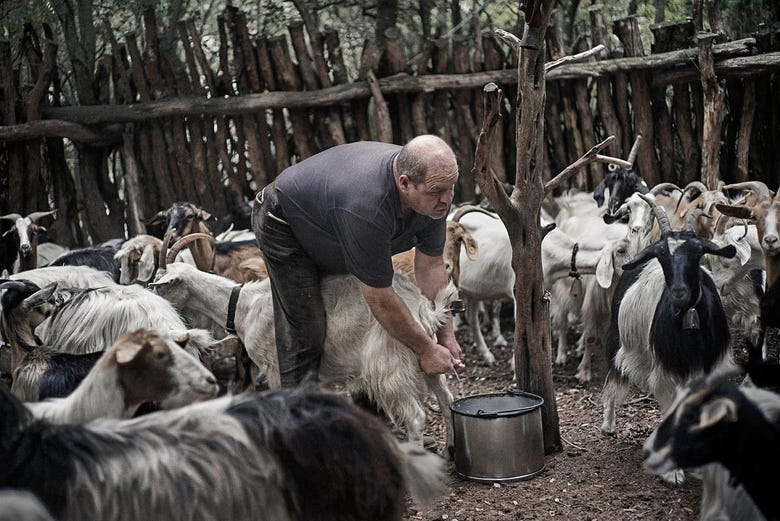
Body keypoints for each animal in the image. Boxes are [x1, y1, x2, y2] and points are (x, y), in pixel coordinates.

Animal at [149, 262, 460, 452]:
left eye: (160, 284)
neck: (244, 306)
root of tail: (422, 308)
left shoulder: (276, 367)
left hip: (389, 363)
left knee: (416, 416)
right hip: (428, 357)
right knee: (447, 400)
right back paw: (451, 449)